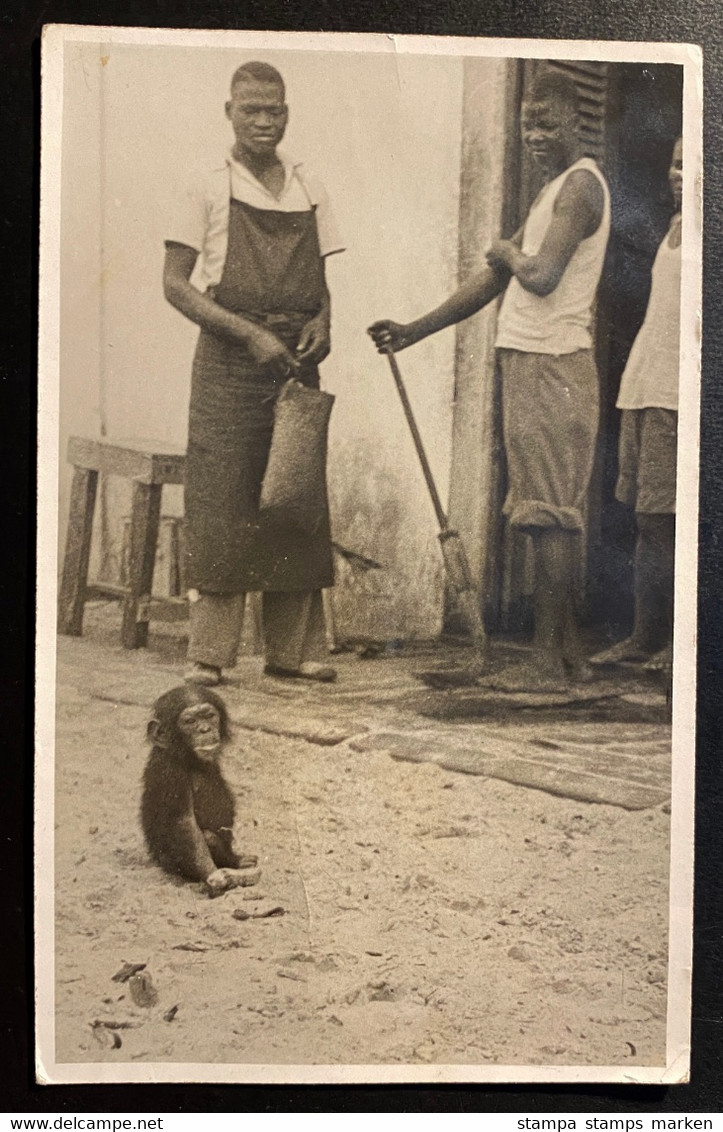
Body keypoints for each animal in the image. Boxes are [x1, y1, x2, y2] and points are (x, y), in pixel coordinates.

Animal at [140, 683, 259, 896]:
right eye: (190, 721)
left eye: (209, 716)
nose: (204, 729)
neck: (188, 758)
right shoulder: (170, 773)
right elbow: (185, 822)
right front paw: (214, 875)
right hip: (172, 864)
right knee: (209, 837)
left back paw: (239, 861)